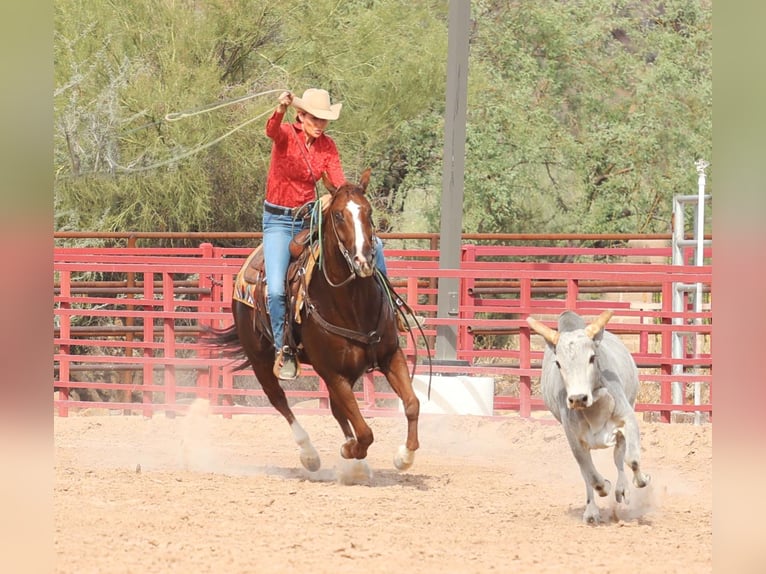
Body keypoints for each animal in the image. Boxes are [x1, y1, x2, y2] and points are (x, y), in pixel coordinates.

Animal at [212, 169, 420, 480]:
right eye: (338, 215)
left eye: (369, 212)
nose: (364, 259)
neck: (353, 304)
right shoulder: (333, 373)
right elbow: (365, 432)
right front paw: (350, 451)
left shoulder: (389, 356)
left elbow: (411, 404)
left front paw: (404, 457)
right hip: (261, 361)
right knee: (279, 400)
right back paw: (310, 455)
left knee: (337, 410)